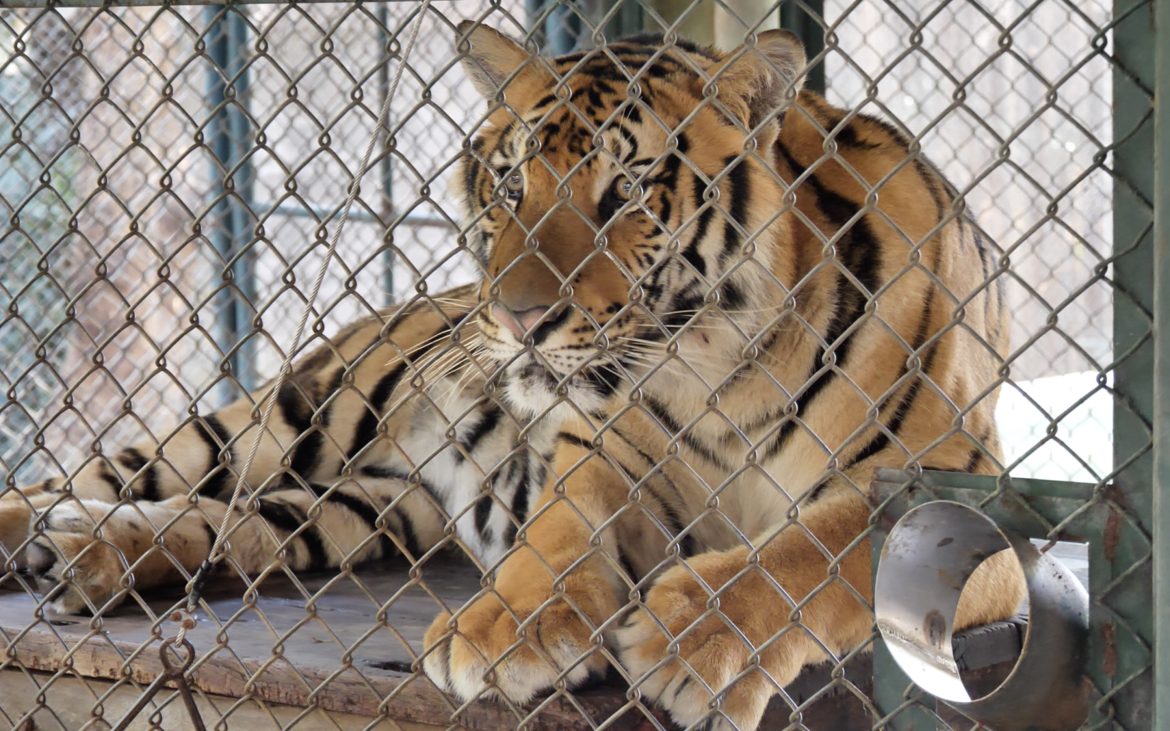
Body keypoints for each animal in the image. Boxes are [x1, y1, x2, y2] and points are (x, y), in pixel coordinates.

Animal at [0, 21, 1026, 731]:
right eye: (508, 185)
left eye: (627, 192)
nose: (517, 319)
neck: (722, 368)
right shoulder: (601, 451)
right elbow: (559, 536)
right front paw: (503, 629)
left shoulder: (968, 498)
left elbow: (816, 552)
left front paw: (694, 637)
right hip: (285, 418)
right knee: (95, 474)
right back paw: (49, 538)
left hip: (367, 506)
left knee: (237, 522)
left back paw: (83, 553)